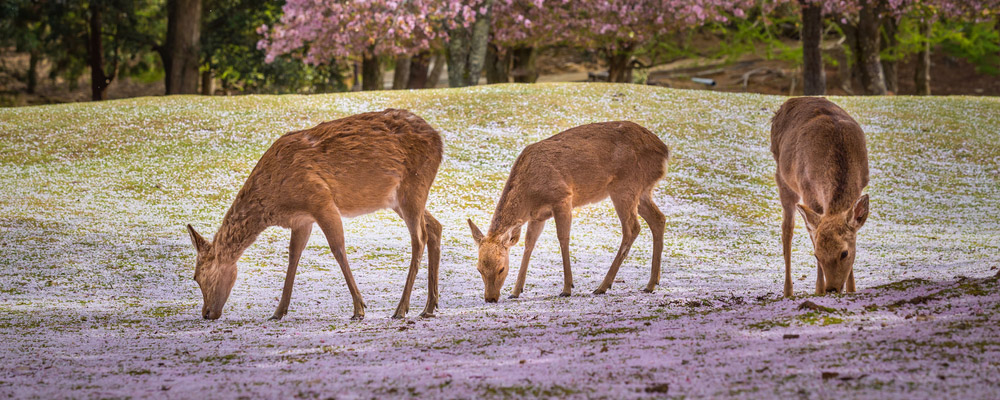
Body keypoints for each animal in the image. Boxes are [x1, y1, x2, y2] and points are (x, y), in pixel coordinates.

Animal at [185, 109, 442, 322]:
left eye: (197, 276)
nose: (206, 313)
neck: (276, 201)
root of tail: (439, 140)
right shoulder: (302, 219)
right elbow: (293, 256)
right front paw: (278, 311)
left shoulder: (321, 199)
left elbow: (338, 249)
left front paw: (359, 308)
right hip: (399, 198)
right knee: (435, 226)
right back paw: (429, 306)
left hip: (413, 186)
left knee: (419, 237)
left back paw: (401, 309)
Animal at [468, 120, 672, 302]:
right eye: (479, 269)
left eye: (501, 269)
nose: (490, 298)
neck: (529, 196)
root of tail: (664, 151)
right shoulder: (537, 216)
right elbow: (529, 244)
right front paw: (516, 291)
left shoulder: (563, 197)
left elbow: (563, 238)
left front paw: (567, 288)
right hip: (642, 190)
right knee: (659, 219)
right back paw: (651, 283)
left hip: (625, 187)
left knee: (632, 228)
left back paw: (603, 286)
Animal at [768, 97, 872, 296]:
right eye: (817, 255)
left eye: (844, 253)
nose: (832, 288)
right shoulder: (808, 191)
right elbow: (812, 233)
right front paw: (818, 290)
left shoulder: (861, 184)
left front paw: (852, 289)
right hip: (783, 179)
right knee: (787, 229)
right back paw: (788, 291)